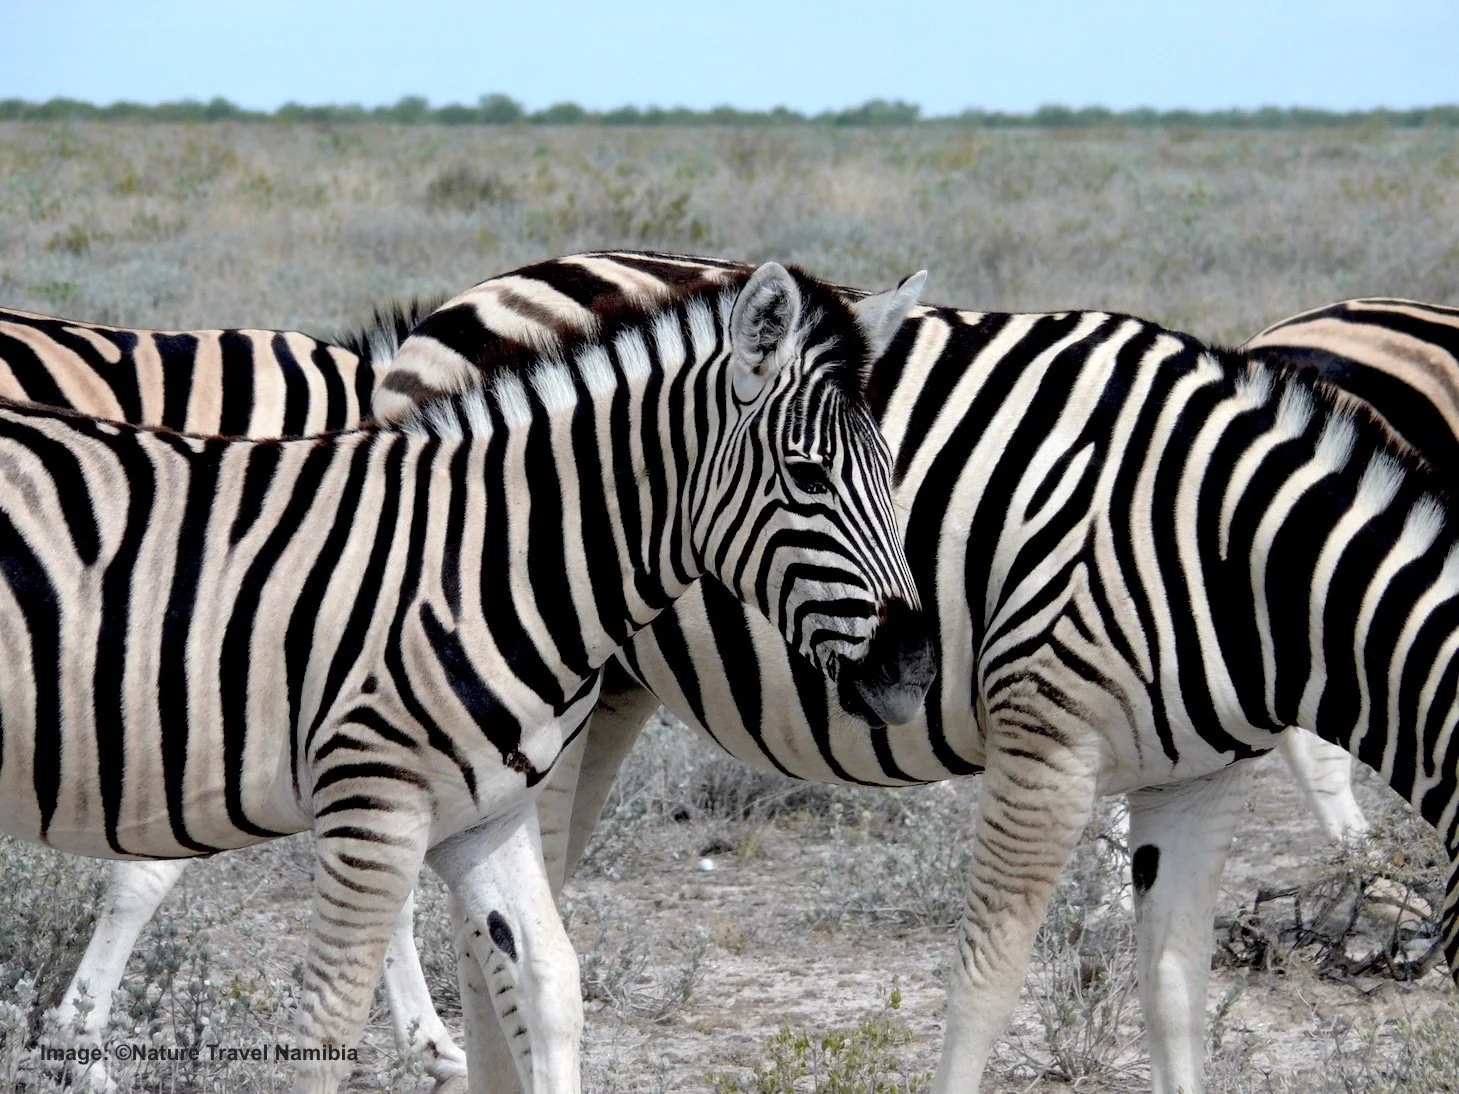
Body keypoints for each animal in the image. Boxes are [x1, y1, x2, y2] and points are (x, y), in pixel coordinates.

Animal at [0, 257, 932, 1093]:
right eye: (806, 475)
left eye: (892, 471)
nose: (914, 668)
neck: (488, 560)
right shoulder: (360, 795)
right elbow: (318, 1019)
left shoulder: (487, 813)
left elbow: (550, 986)